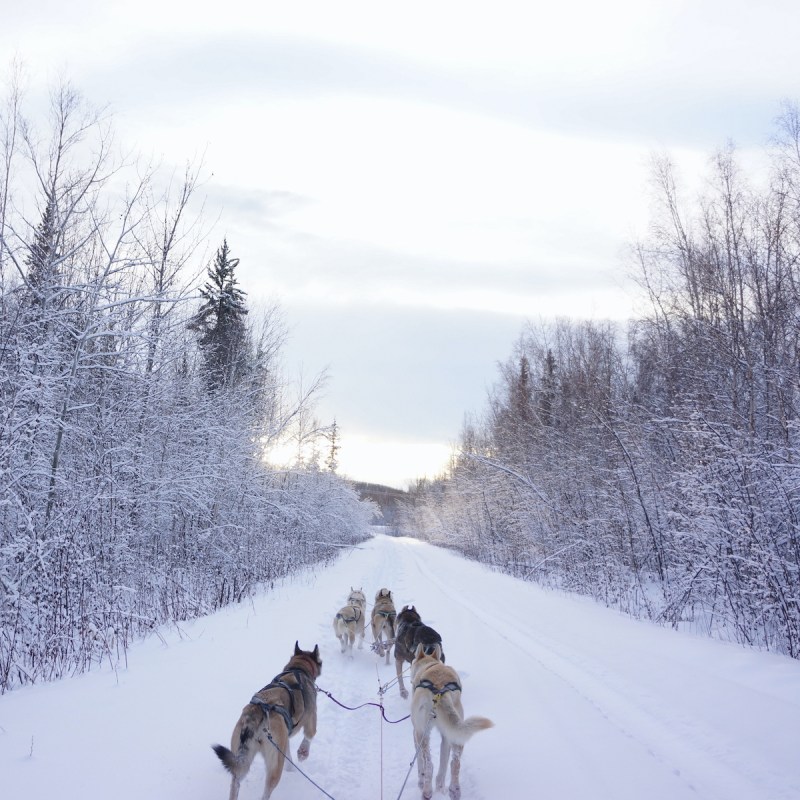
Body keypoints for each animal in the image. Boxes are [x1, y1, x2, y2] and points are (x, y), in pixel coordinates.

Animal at [216, 640, 324, 800]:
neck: (298, 668)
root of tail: (256, 714)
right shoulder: (311, 720)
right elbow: (309, 736)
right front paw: (302, 753)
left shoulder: (284, 741)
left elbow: (289, 756)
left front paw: (291, 768)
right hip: (274, 765)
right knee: (267, 789)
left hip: (242, 759)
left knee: (235, 782)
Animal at [412, 644, 494, 800]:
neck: (429, 665)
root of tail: (439, 689)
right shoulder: (445, 737)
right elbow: (443, 763)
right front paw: (440, 787)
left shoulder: (416, 732)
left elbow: (419, 762)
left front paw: (420, 781)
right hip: (456, 733)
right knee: (454, 763)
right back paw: (453, 790)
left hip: (423, 733)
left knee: (428, 764)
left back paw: (426, 790)